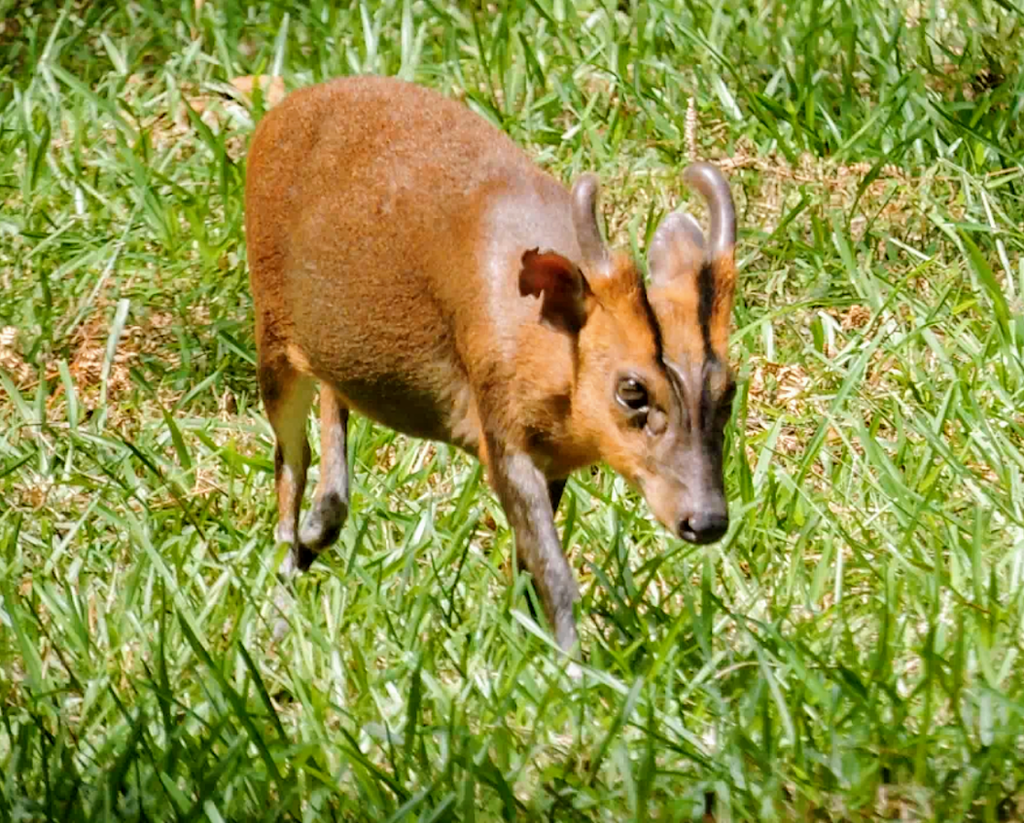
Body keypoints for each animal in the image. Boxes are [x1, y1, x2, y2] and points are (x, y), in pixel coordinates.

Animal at [246, 77, 737, 655]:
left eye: (728, 390)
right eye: (633, 390)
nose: (706, 520)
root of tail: (280, 112)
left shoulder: (551, 455)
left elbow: (529, 564)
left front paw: (531, 641)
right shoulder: (500, 429)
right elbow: (555, 572)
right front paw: (572, 666)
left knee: (330, 440)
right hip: (271, 336)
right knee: (289, 468)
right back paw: (277, 612)